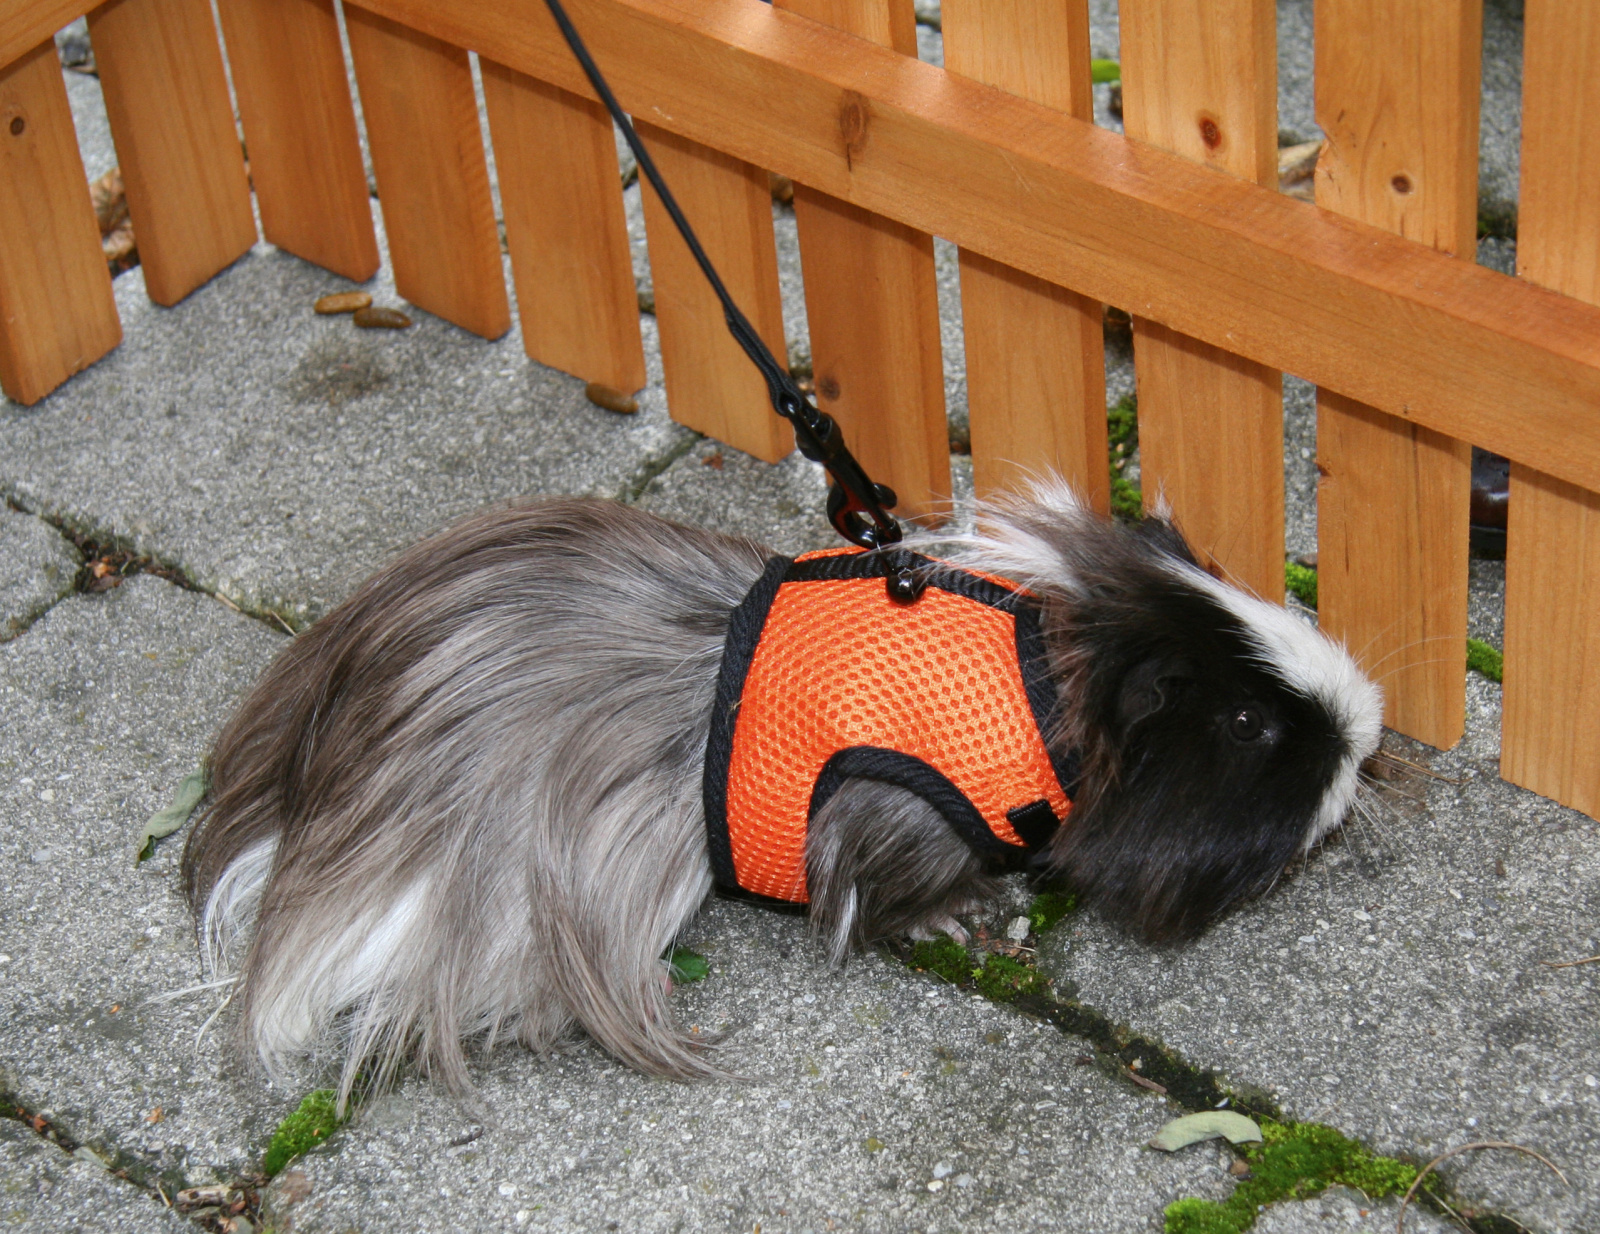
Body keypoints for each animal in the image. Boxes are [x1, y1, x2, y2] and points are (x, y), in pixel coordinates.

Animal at [180, 479, 1382, 1104]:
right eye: (1249, 723)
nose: (1366, 727)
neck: (1038, 692)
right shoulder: (891, 834)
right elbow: (888, 906)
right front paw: (970, 919)